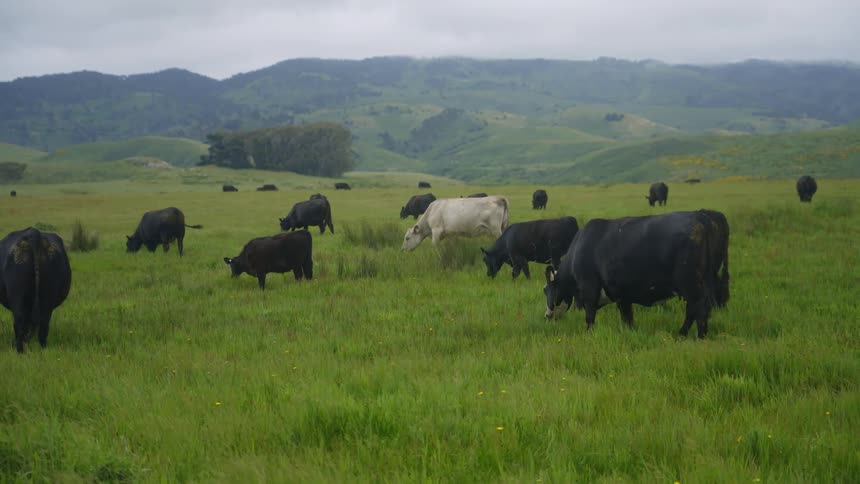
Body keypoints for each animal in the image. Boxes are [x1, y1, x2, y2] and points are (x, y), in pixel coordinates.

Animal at [543, 210, 728, 339]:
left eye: (546, 290)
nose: (547, 316)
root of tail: (699, 217)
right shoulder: (622, 296)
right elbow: (628, 319)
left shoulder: (589, 289)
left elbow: (590, 317)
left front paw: (589, 335)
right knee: (695, 309)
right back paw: (683, 334)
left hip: (690, 283)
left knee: (698, 308)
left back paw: (698, 336)